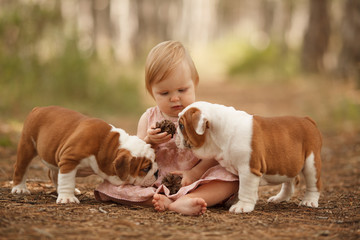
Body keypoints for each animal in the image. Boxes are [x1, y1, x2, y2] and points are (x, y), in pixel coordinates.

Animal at [11, 107, 158, 204]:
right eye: (145, 169)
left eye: (155, 160)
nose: (157, 172)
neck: (107, 145)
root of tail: (37, 109)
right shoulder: (69, 159)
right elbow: (67, 180)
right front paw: (67, 198)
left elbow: (63, 178)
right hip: (27, 145)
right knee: (21, 167)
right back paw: (19, 189)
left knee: (53, 174)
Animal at [176, 100, 322, 213]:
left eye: (181, 125)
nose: (175, 134)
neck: (221, 132)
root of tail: (307, 119)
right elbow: (239, 187)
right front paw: (235, 201)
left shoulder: (248, 170)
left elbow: (245, 189)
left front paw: (242, 206)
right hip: (288, 163)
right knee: (290, 182)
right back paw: (279, 198)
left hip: (311, 163)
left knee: (313, 184)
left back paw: (309, 201)